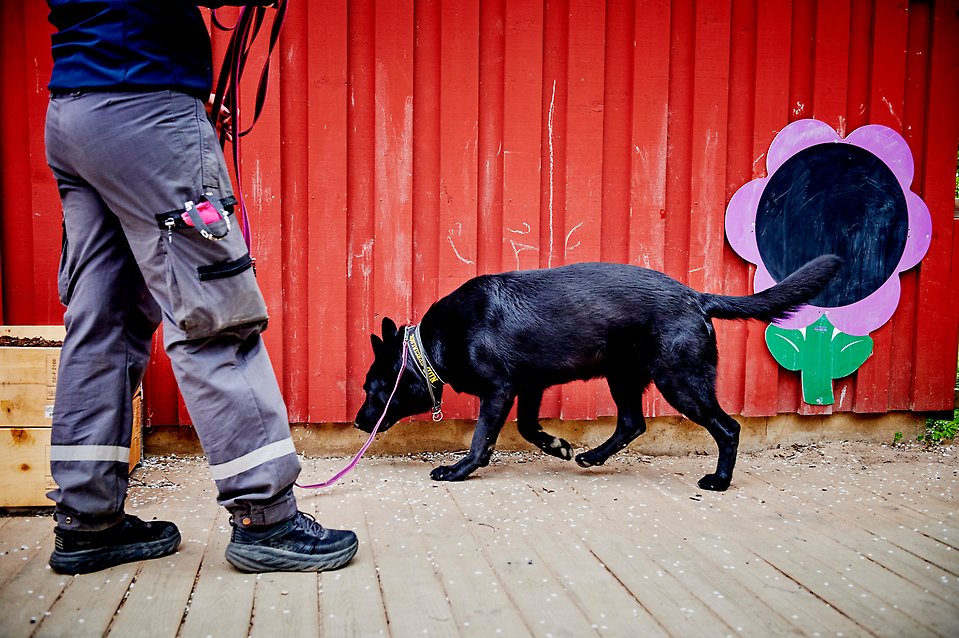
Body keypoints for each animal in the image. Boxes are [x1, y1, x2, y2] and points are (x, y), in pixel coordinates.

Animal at [354, 258, 840, 492]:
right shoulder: (529, 386)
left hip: (681, 382)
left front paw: (458, 471)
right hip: (623, 376)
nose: (359, 422)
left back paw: (719, 481)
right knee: (632, 422)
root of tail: (696, 297)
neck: (432, 345)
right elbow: (528, 428)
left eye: (373, 389)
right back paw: (592, 457)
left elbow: (481, 440)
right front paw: (558, 446)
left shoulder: (500, 390)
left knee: (727, 427)